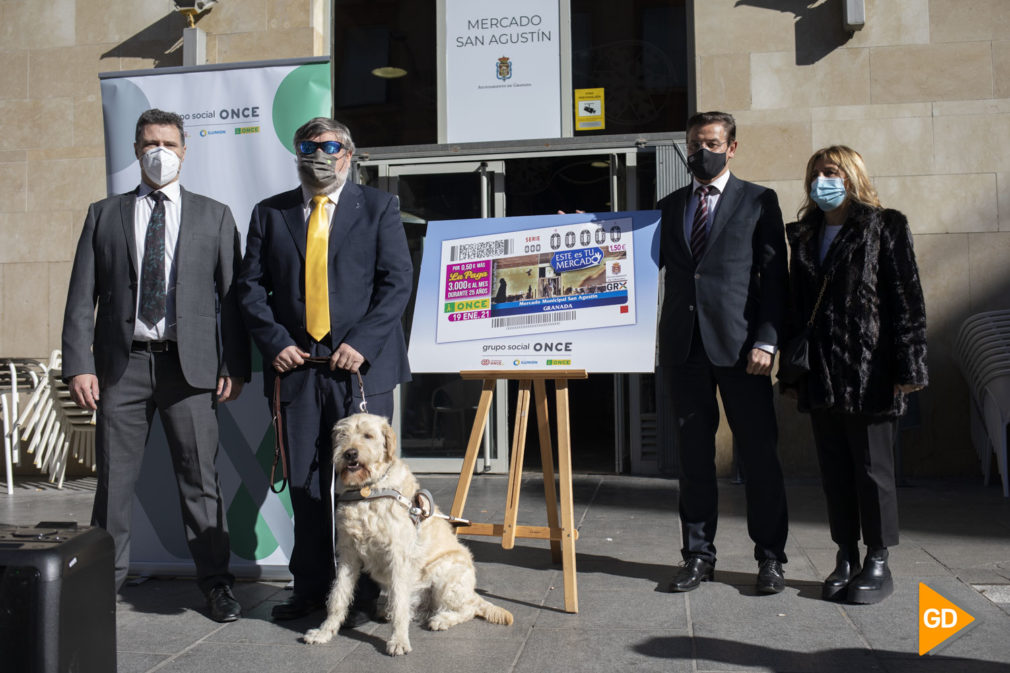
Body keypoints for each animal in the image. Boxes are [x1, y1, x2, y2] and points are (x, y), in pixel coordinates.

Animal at [300, 412, 513, 650]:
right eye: (343, 435)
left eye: (368, 435)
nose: (350, 453)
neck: (369, 490)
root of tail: (473, 593)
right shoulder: (348, 555)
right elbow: (338, 596)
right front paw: (324, 632)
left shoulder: (398, 557)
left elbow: (400, 603)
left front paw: (399, 640)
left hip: (447, 575)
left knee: (467, 609)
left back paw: (442, 619)